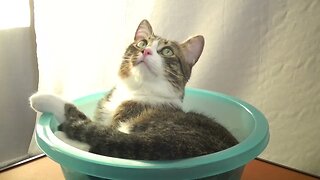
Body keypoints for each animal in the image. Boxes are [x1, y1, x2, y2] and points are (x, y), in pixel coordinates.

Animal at [30, 19, 239, 160]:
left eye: (167, 51)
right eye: (142, 43)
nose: (145, 51)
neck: (136, 89)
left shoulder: (117, 123)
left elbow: (83, 119)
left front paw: (39, 100)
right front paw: (42, 99)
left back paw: (63, 137)